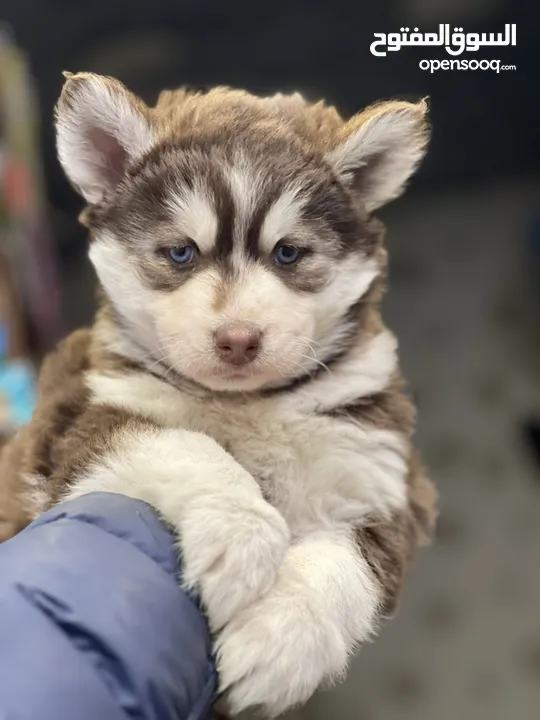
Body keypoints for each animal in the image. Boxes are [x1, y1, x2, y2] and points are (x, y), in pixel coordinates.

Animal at [0, 74, 436, 720]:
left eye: (288, 253)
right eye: (181, 252)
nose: (238, 339)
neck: (246, 404)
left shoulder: (381, 479)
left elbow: (347, 561)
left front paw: (284, 635)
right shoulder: (74, 424)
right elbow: (182, 442)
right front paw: (241, 532)